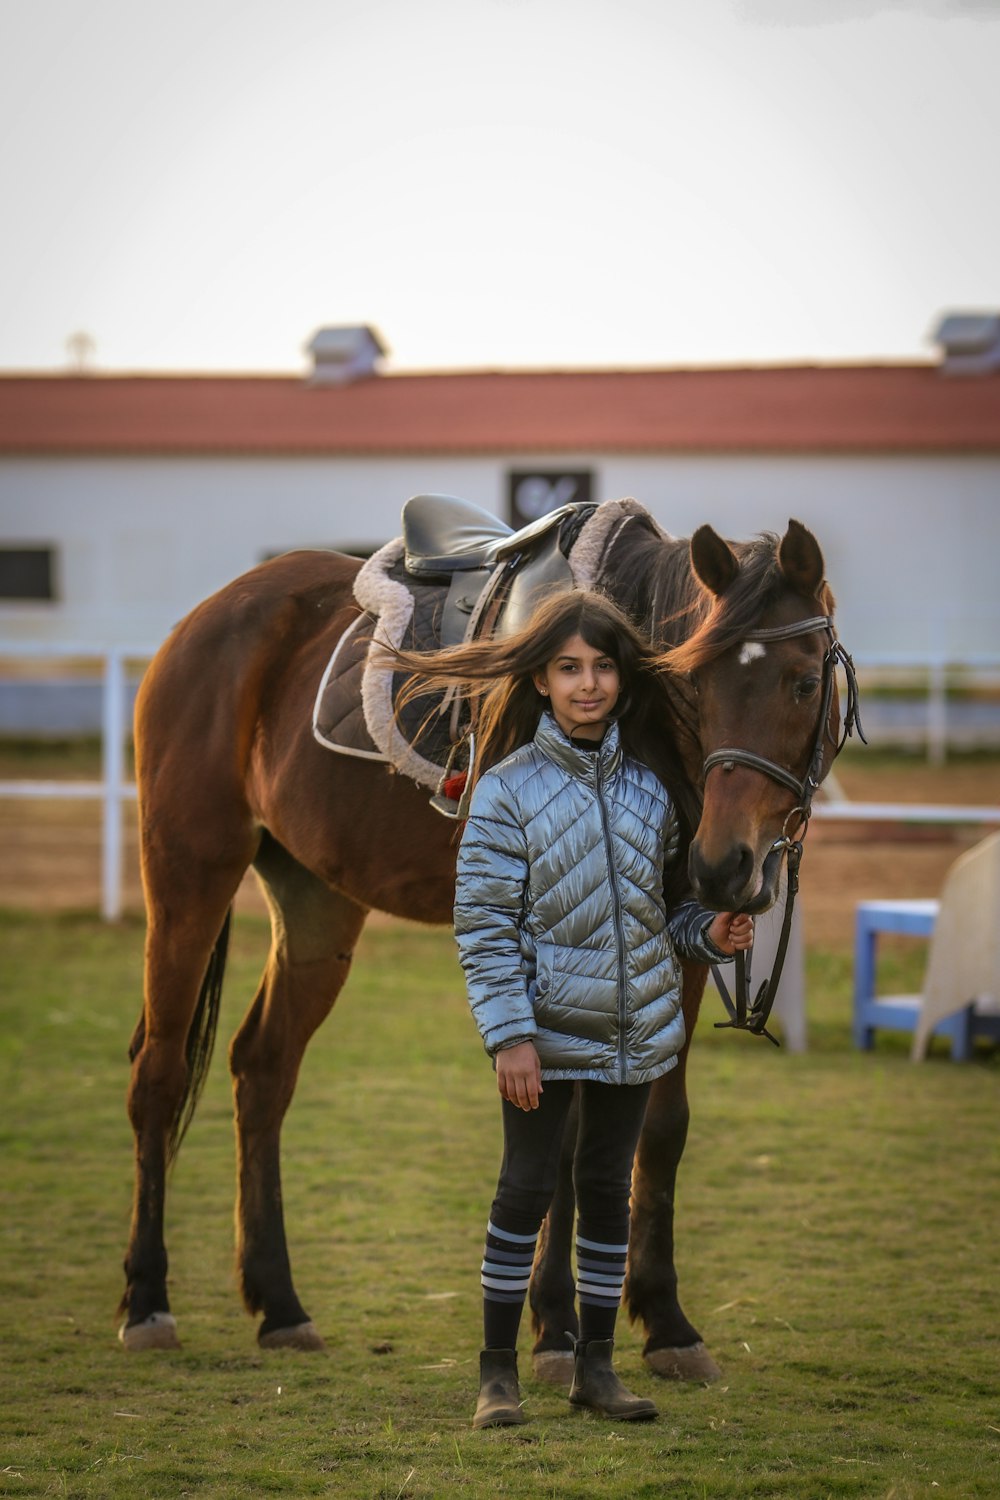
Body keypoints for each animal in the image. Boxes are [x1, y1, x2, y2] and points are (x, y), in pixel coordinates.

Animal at [117, 498, 851, 1374]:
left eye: (803, 680)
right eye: (694, 683)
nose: (724, 863)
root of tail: (205, 621)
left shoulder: (671, 939)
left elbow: (658, 1127)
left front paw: (666, 1321)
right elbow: (565, 1136)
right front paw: (557, 1325)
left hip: (317, 904)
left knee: (261, 1070)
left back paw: (280, 1303)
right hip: (189, 874)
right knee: (159, 1075)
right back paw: (147, 1301)